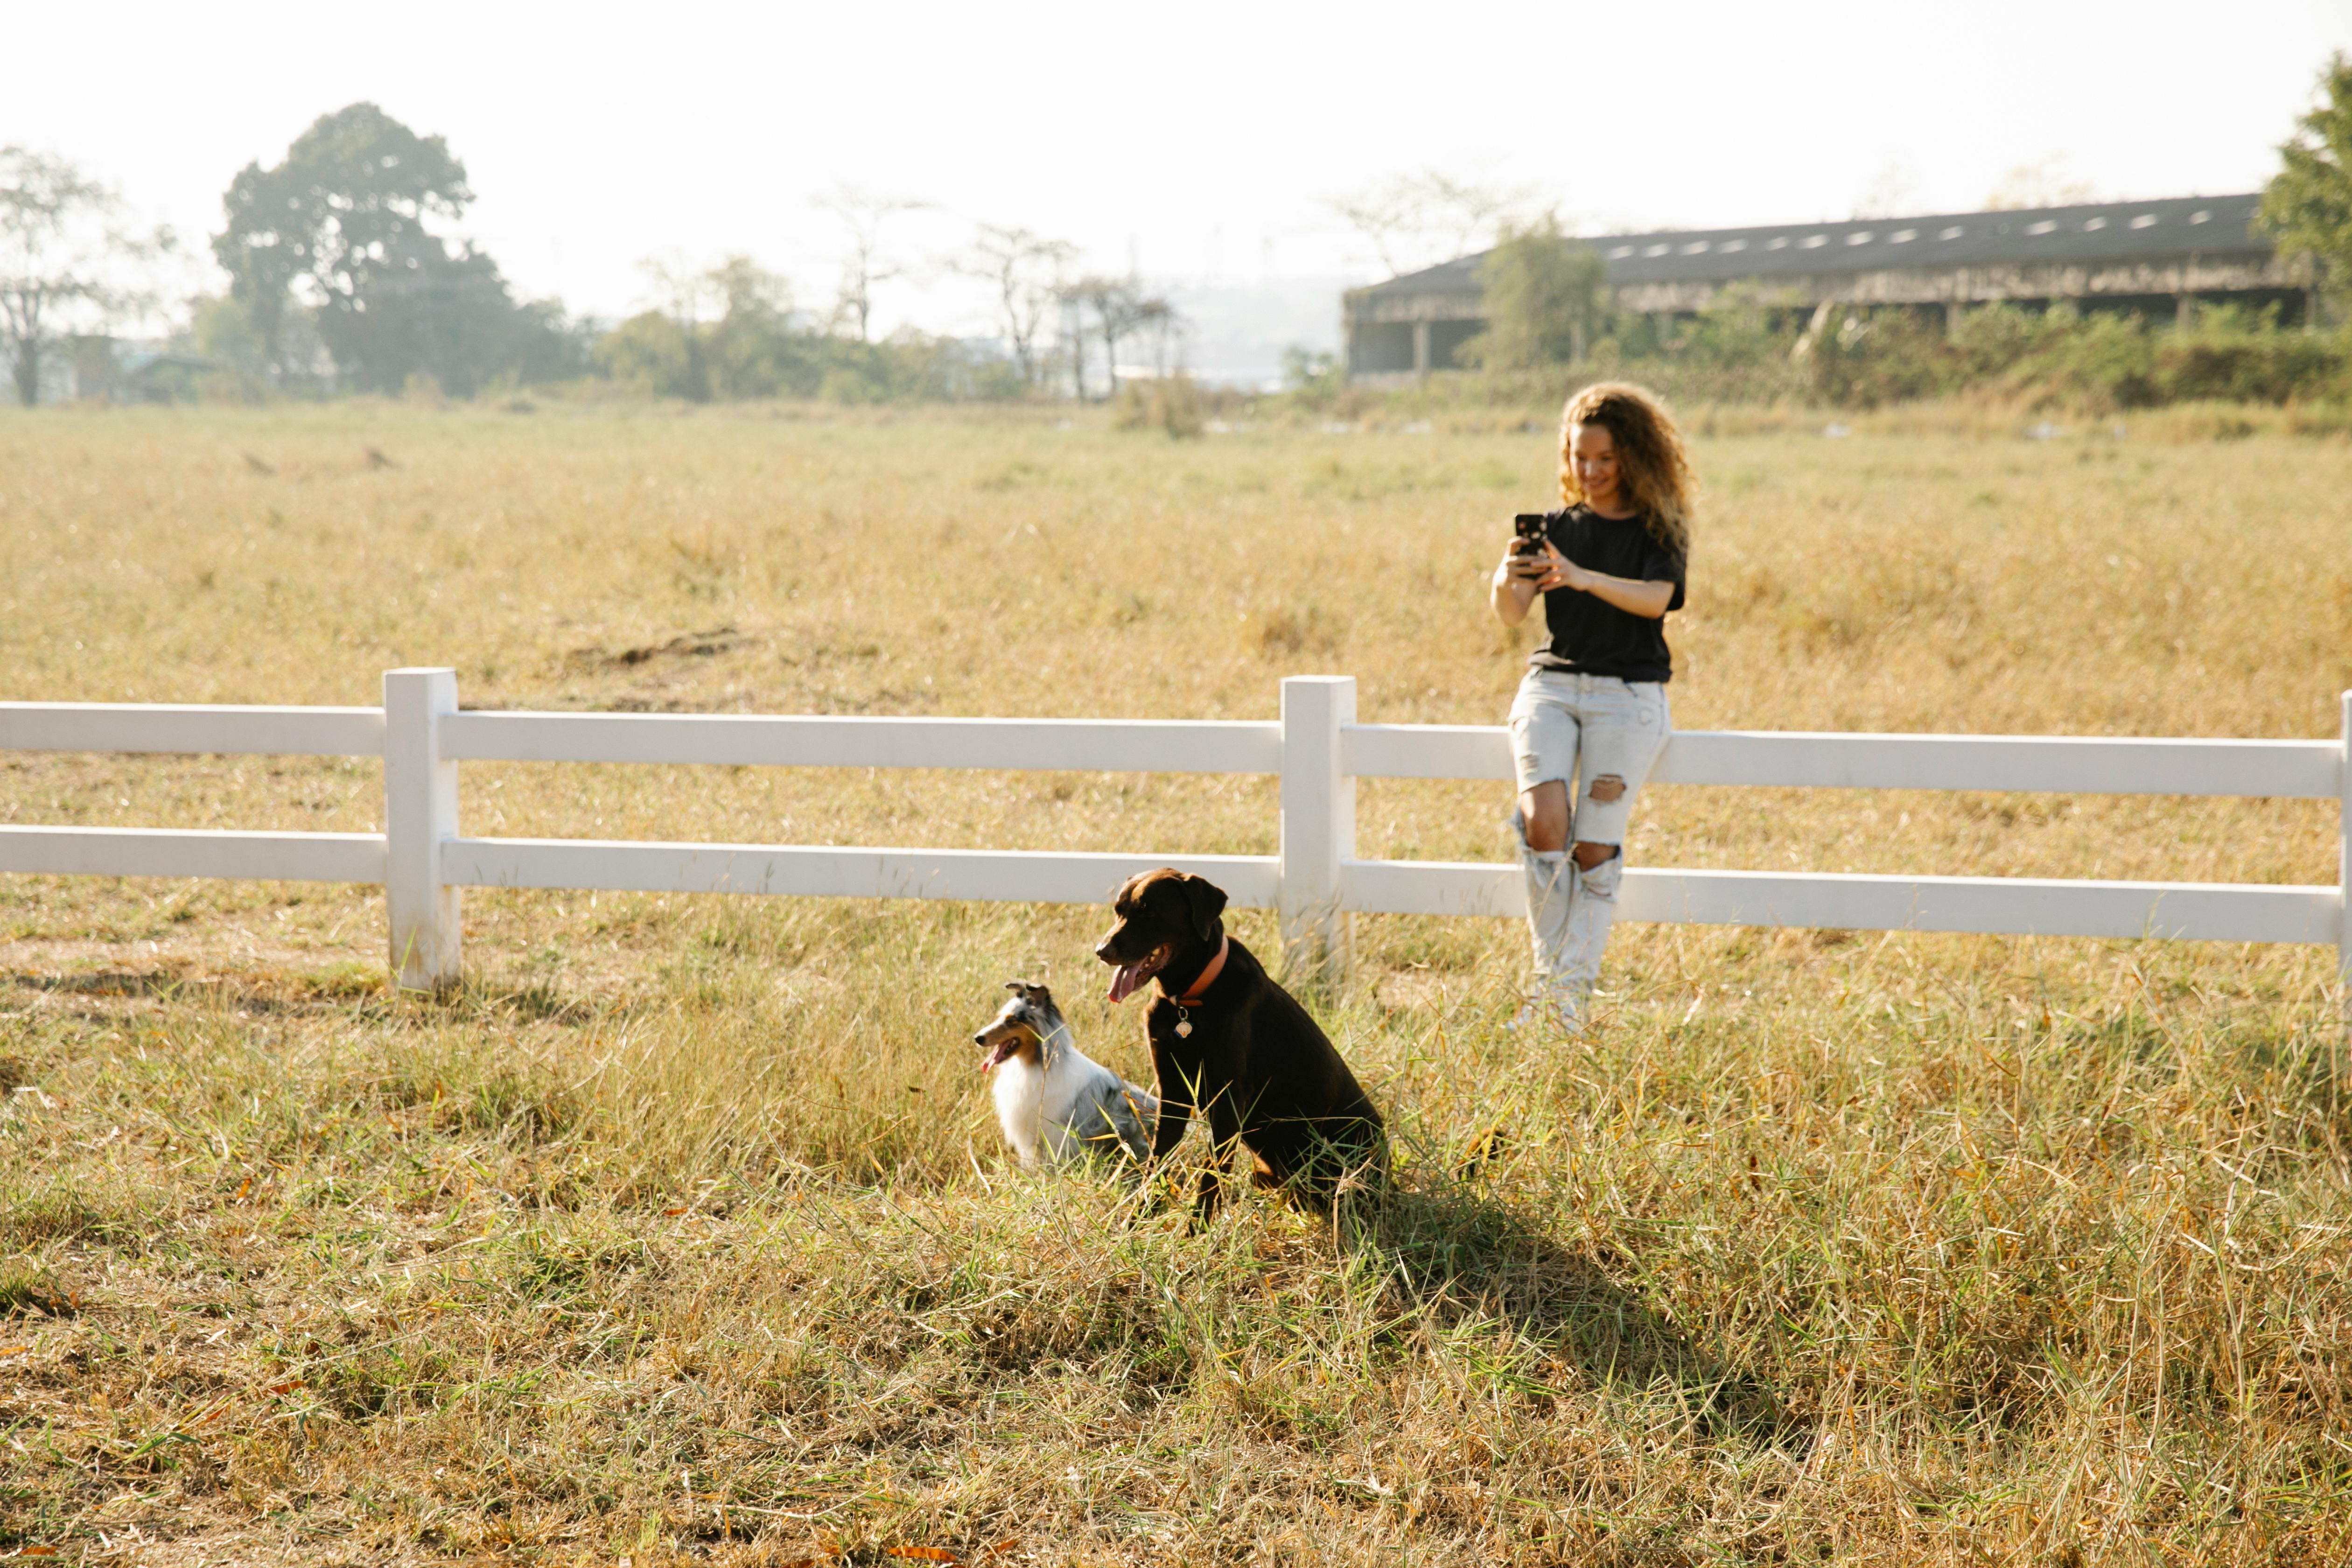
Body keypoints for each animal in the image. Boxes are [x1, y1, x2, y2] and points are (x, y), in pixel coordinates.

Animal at [1091, 869, 1383, 1222]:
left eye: (1149, 911)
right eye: (1118, 910)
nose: (1102, 950)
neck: (1187, 1003)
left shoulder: (1228, 1097)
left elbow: (1210, 1176)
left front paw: (1196, 1231)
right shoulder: (1172, 1090)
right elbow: (1158, 1164)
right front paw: (1137, 1222)